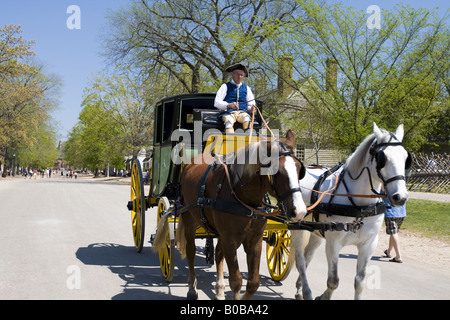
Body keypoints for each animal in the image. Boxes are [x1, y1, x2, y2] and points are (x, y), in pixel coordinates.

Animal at [154, 130, 306, 300]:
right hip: (189, 218)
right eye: (277, 171)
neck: (243, 196)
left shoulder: (254, 240)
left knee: (218, 253)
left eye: (299, 169)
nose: (299, 211)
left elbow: (253, 283)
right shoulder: (229, 239)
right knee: (191, 251)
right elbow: (236, 281)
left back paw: (219, 289)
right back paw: (192, 288)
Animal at [292, 123, 412, 300]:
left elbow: (359, 282)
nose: (400, 197)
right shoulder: (333, 243)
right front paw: (324, 296)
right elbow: (333, 281)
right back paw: (306, 291)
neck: (359, 207)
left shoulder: (368, 244)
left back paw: (300, 288)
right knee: (300, 260)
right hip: (296, 228)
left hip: (316, 232)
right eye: (382, 159)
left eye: (405, 158)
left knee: (308, 257)